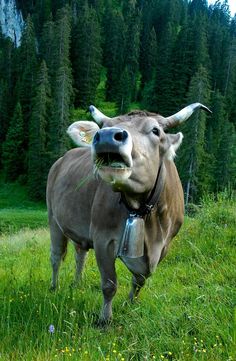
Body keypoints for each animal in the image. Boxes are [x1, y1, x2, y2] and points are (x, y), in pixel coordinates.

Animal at [47, 101, 211, 324]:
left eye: (156, 130)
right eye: (104, 127)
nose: (107, 136)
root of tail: (63, 157)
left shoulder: (165, 245)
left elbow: (140, 279)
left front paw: (131, 304)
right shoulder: (103, 239)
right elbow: (109, 284)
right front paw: (105, 319)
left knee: (80, 254)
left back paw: (77, 284)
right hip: (53, 219)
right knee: (56, 257)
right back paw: (54, 288)